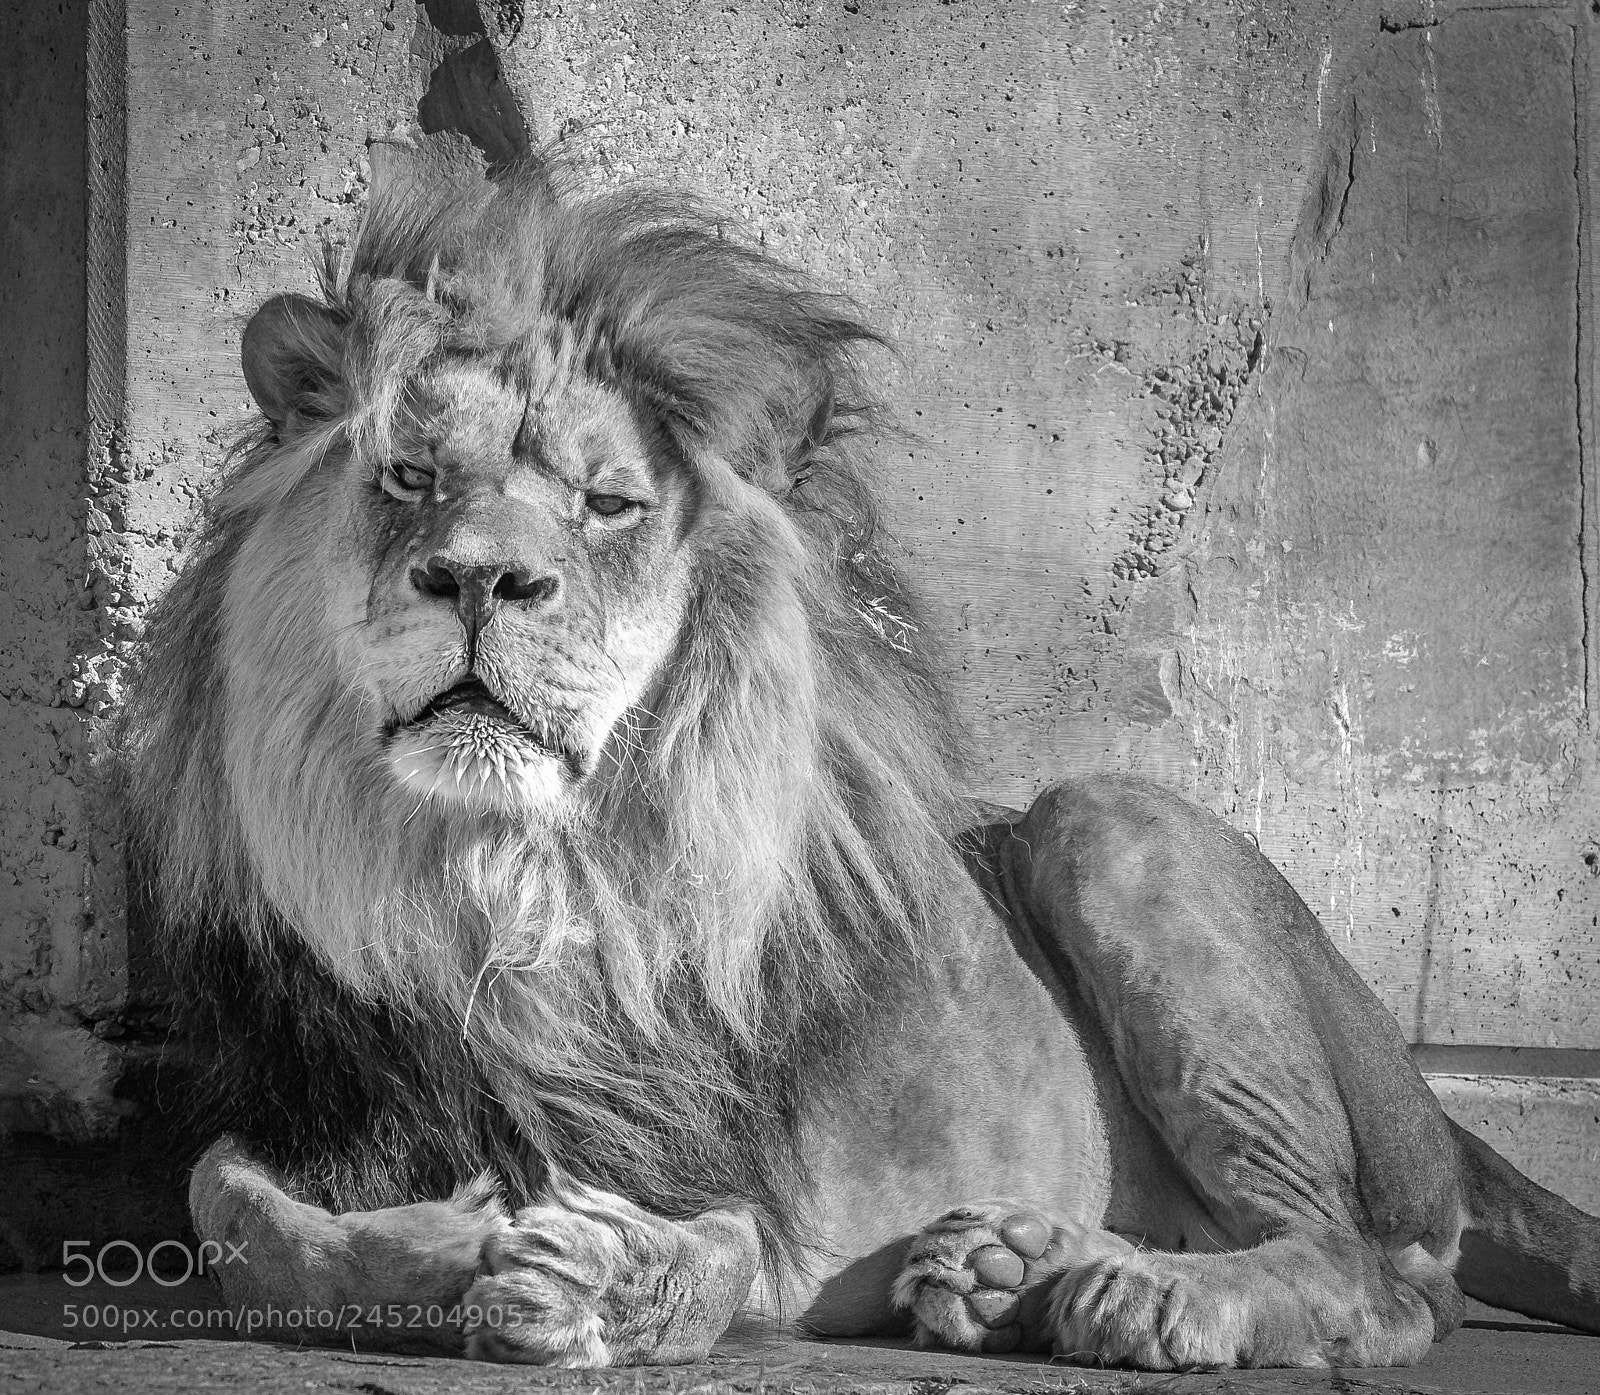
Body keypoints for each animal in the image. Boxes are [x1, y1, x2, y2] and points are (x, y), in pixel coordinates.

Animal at [119, 153, 1600, 1370]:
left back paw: (1143, 1298)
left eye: (609, 502)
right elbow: (232, 1213)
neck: (503, 875)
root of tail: (1423, 1091)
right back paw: (1007, 1272)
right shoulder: (299, 1092)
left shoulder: (745, 1181)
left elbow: (709, 1252)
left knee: (1382, 1273)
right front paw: (446, 1244)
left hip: (1109, 822)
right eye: (413, 477)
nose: (481, 576)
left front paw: (593, 1275)